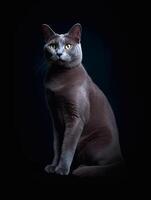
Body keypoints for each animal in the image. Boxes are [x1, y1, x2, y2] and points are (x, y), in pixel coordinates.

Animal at [41, 23, 124, 177]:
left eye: (68, 45)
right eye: (53, 45)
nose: (59, 53)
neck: (58, 79)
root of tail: (120, 157)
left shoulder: (76, 117)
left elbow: (67, 146)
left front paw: (61, 169)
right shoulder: (54, 117)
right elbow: (57, 145)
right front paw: (53, 166)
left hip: (95, 144)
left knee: (104, 165)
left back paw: (81, 169)